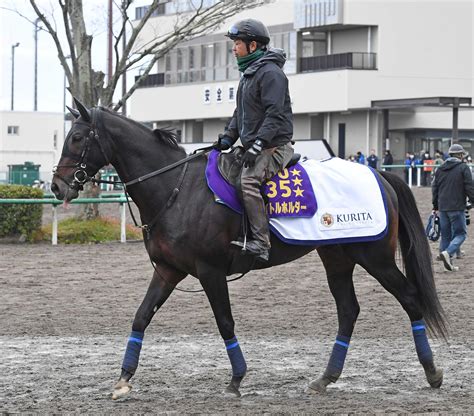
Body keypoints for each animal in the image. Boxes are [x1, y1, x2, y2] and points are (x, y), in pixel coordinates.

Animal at [51, 100, 448, 400]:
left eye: (78, 136)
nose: (57, 185)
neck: (177, 187)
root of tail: (380, 176)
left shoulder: (210, 272)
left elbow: (225, 322)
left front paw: (237, 378)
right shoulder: (167, 270)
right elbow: (141, 317)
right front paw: (123, 379)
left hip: (375, 257)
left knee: (410, 298)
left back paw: (432, 372)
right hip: (337, 258)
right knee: (349, 311)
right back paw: (325, 378)